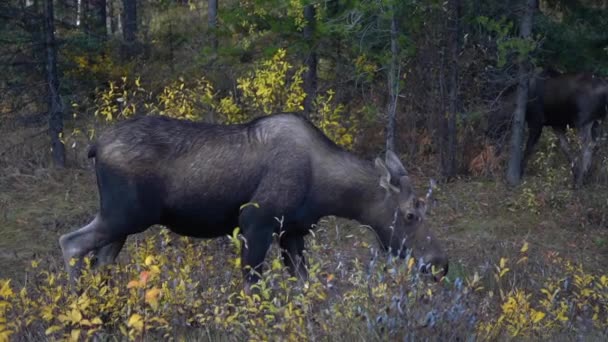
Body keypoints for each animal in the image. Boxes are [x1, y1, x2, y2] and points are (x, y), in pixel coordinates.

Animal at [59, 113, 448, 294]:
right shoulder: (255, 223)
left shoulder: (292, 232)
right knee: (70, 243)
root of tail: (95, 147)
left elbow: (304, 286)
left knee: (99, 260)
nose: (440, 264)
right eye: (410, 213)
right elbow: (252, 287)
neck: (327, 191)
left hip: (122, 224)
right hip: (123, 214)